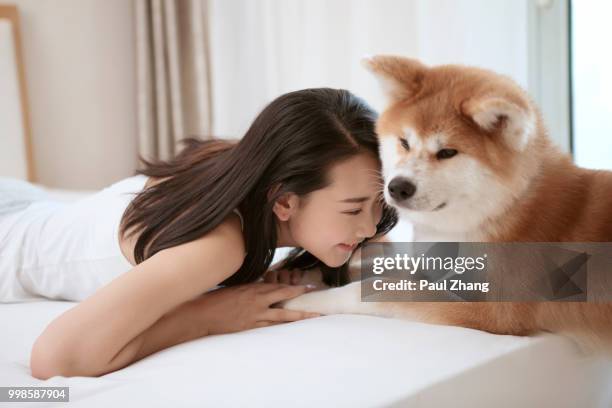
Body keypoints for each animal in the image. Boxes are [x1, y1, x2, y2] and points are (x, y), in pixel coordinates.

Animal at [280, 55, 612, 354]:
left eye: (447, 152)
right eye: (404, 142)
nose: (397, 186)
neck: (501, 212)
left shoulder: (496, 311)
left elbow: (376, 287)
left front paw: (298, 299)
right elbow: (383, 268)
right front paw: (299, 275)